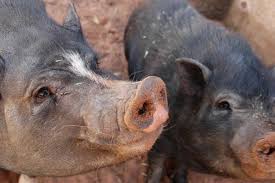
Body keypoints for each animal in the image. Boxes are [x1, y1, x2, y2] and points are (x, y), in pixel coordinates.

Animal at [125, 0, 275, 181]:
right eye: (223, 104)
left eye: (274, 105)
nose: (271, 135)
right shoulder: (159, 134)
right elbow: (156, 165)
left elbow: (181, 167)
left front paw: (181, 179)